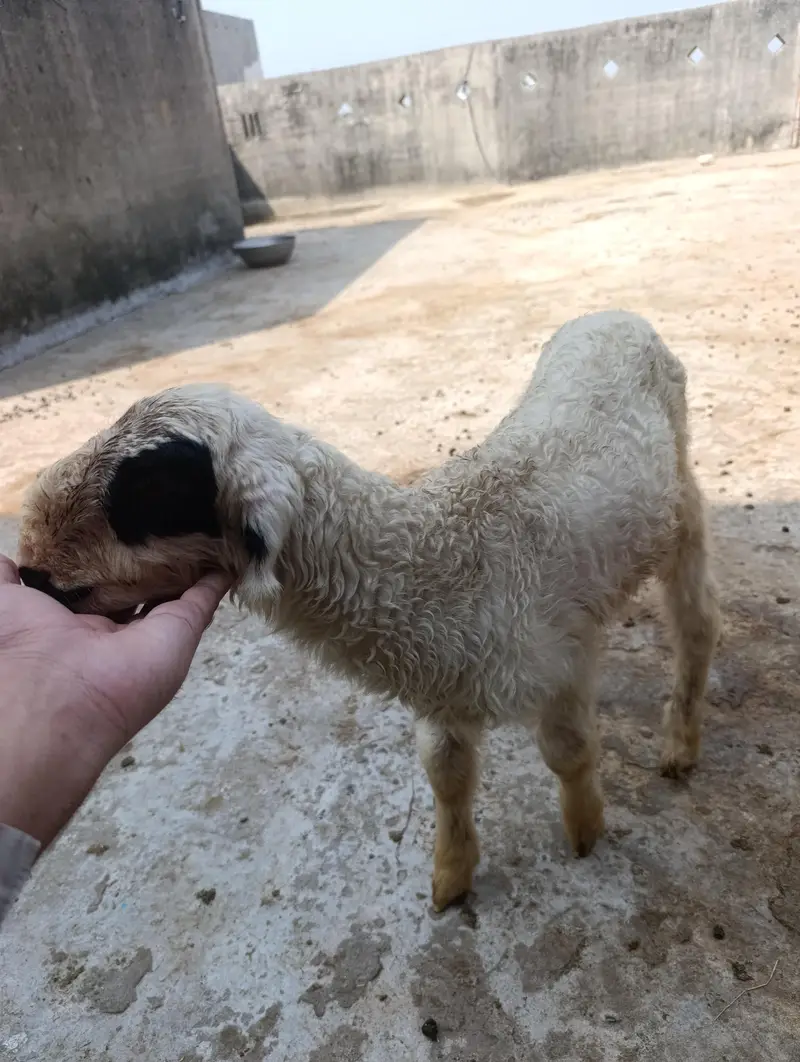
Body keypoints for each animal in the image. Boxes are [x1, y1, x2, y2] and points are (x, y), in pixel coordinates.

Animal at [17, 309, 720, 911]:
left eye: (149, 493)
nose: (30, 574)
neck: (453, 555)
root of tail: (614, 315)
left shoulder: (564, 658)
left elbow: (568, 751)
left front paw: (584, 831)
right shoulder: (446, 689)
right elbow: (446, 775)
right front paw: (451, 877)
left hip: (682, 499)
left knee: (698, 620)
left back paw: (681, 744)